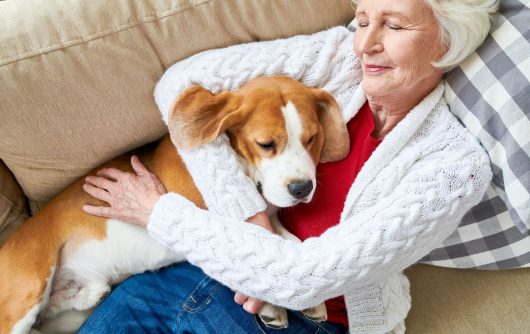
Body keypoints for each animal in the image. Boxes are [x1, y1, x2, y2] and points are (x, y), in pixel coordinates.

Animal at [0, 76, 346, 334]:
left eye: (312, 138)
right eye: (266, 144)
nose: (302, 188)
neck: (246, 170)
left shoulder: (266, 219)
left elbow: (288, 241)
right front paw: (271, 304)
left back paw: (91, 292)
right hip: (26, 293)